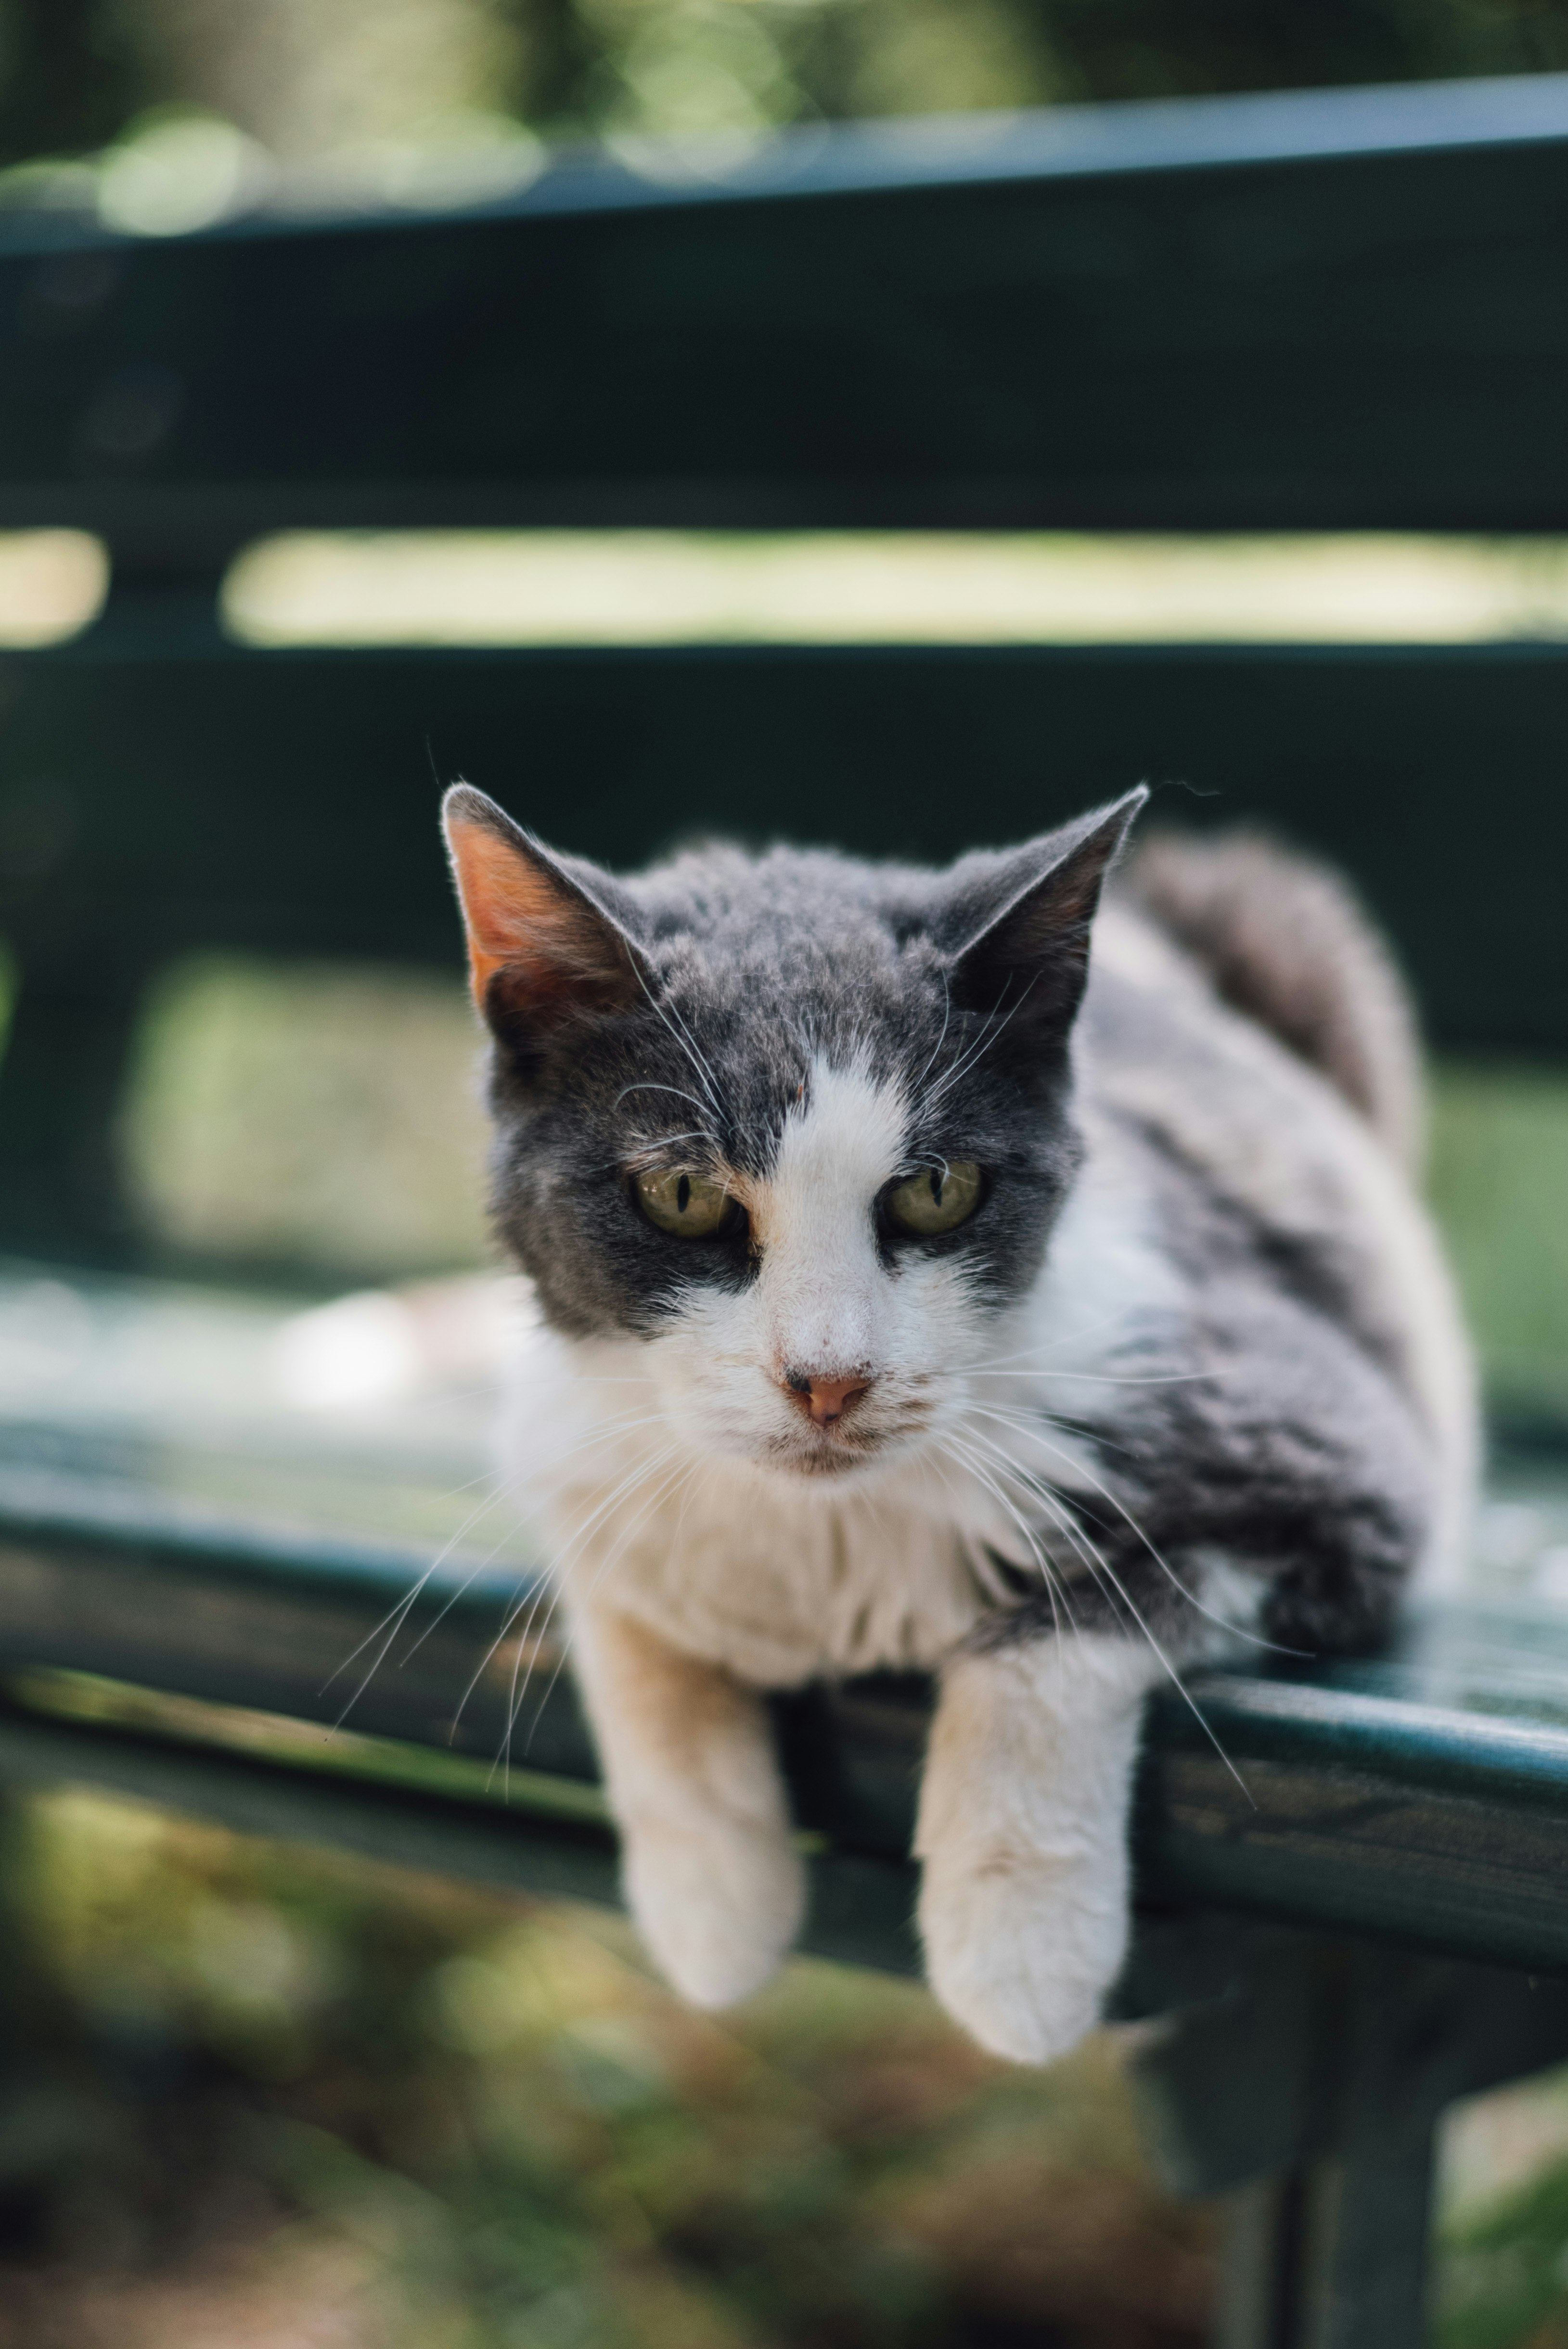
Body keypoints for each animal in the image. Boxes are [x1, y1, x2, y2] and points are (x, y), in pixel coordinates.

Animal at [444, 784, 1486, 2057]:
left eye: (936, 1190)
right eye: (683, 1194)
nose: (827, 1379)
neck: (825, 1533)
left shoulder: (1325, 1448)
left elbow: (1060, 1633)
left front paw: (1017, 1951)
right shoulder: (568, 1445)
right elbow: (633, 1623)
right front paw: (712, 1903)